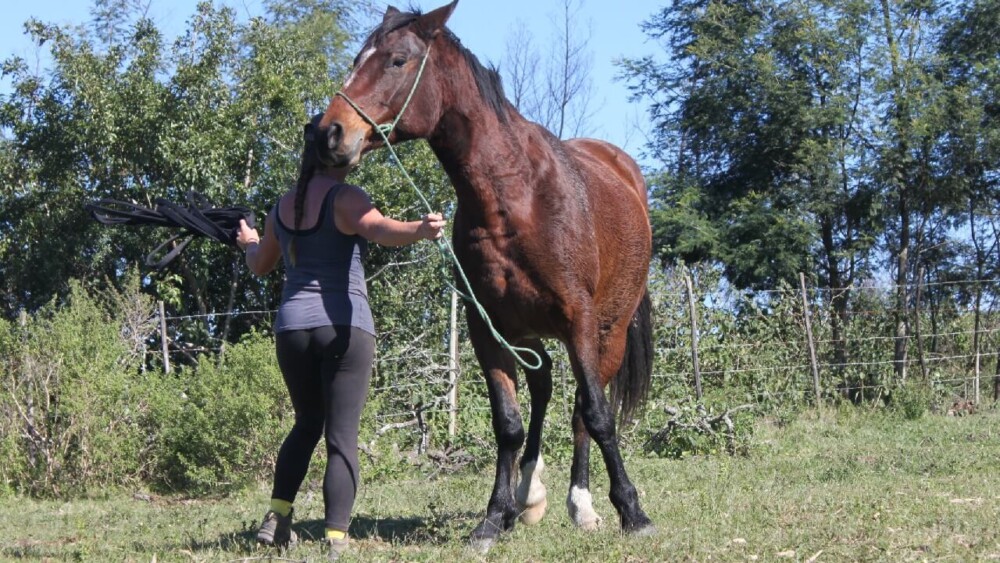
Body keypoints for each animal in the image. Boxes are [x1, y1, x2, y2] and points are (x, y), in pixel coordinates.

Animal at [318, 0, 656, 548]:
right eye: (356, 59)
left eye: (397, 60)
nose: (329, 133)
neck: (514, 197)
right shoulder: (485, 328)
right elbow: (508, 424)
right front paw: (495, 517)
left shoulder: (579, 321)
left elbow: (597, 415)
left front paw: (632, 511)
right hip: (528, 332)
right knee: (543, 388)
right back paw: (529, 494)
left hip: (610, 333)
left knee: (583, 409)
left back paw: (582, 504)